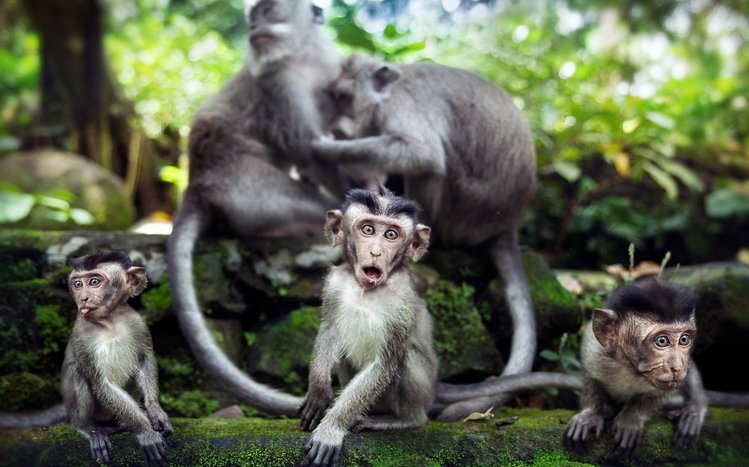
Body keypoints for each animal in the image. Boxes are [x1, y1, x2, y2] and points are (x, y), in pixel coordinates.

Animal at [167, 0, 346, 416]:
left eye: (266, 12)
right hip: (248, 191)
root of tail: (197, 184)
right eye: (253, 17)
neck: (301, 56)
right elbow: (310, 149)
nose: (252, 28)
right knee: (307, 202)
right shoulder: (277, 84)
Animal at [298, 187, 438, 467]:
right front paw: (318, 391)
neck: (366, 290)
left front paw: (331, 429)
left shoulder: (402, 302)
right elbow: (329, 329)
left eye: (391, 235)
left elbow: (384, 364)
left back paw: (403, 420)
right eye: (368, 230)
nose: (375, 252)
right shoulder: (335, 283)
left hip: (423, 392)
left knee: (405, 359)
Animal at [311, 55, 538, 420]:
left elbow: (421, 152)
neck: (387, 92)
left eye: (345, 97)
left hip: (462, 216)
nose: (338, 125)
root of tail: (507, 224)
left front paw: (328, 148)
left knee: (430, 168)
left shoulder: (402, 106)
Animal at [563, 279, 707, 456]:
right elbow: (589, 373)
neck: (631, 367)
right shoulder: (594, 349)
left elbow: (659, 392)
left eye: (684, 339)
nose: (677, 367)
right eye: (662, 341)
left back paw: (693, 409)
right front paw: (589, 414)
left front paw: (630, 419)